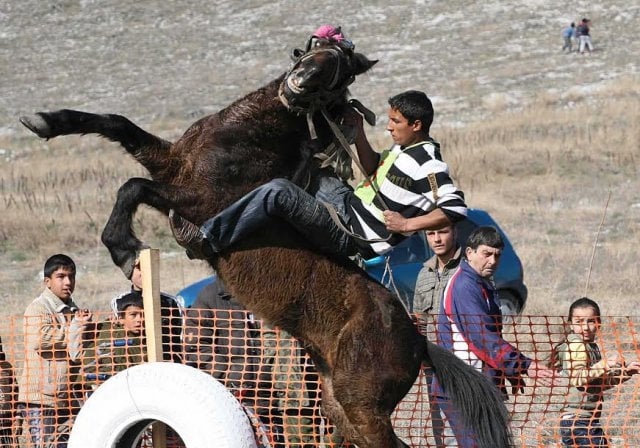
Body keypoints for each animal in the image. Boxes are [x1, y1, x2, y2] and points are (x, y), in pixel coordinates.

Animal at [21, 35, 510, 448]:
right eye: (314, 49)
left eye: (342, 68)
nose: (299, 83)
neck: (245, 135)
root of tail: (418, 339)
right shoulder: (171, 162)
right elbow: (116, 124)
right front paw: (43, 120)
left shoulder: (195, 197)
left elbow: (132, 187)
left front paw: (123, 249)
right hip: (338, 406)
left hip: (362, 404)